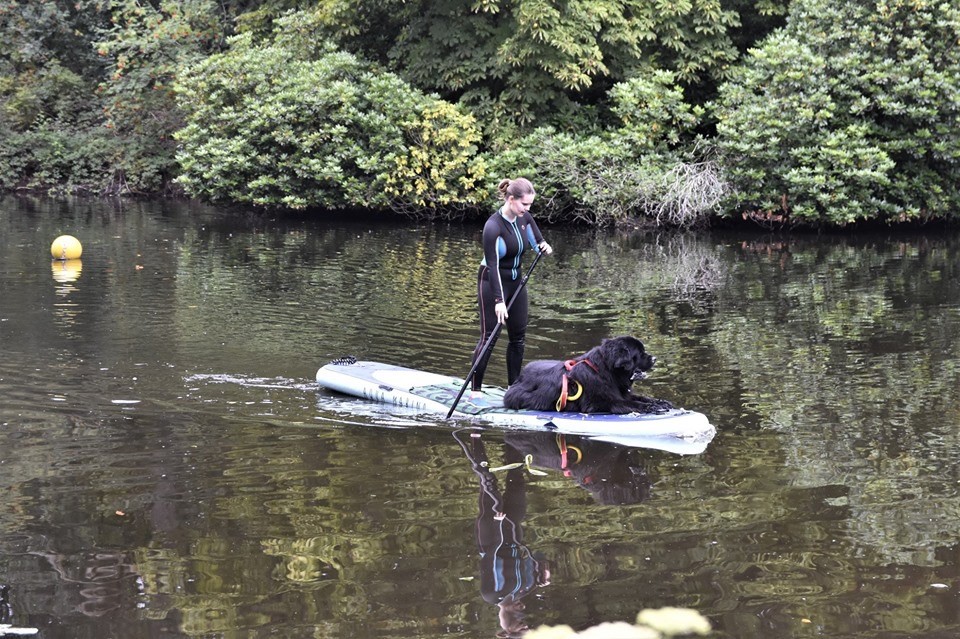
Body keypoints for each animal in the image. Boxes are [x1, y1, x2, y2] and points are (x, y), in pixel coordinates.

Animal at [502, 336, 676, 416]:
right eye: (639, 353)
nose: (655, 358)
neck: (607, 372)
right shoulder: (600, 403)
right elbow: (630, 404)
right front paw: (651, 407)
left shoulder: (622, 393)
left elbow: (641, 397)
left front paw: (660, 402)